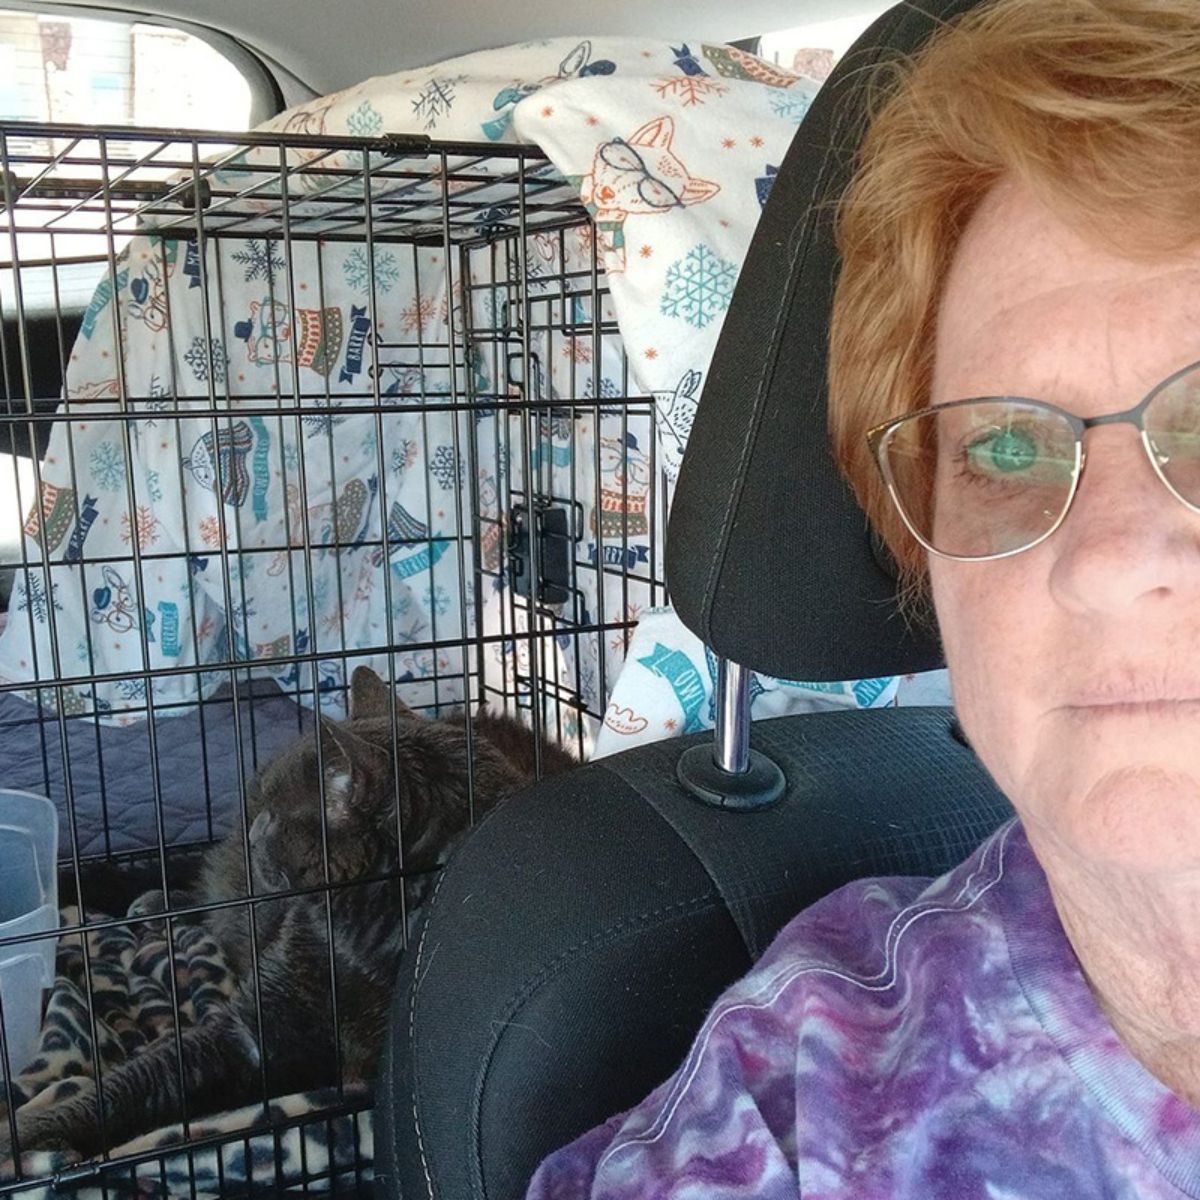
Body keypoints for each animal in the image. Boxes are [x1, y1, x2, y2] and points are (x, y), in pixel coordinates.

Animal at [1, 672, 571, 1156]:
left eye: (277, 819)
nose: (255, 827)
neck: (361, 943)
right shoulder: (246, 1032)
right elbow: (130, 1084)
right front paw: (21, 1136)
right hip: (238, 891)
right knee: (211, 894)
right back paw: (159, 904)